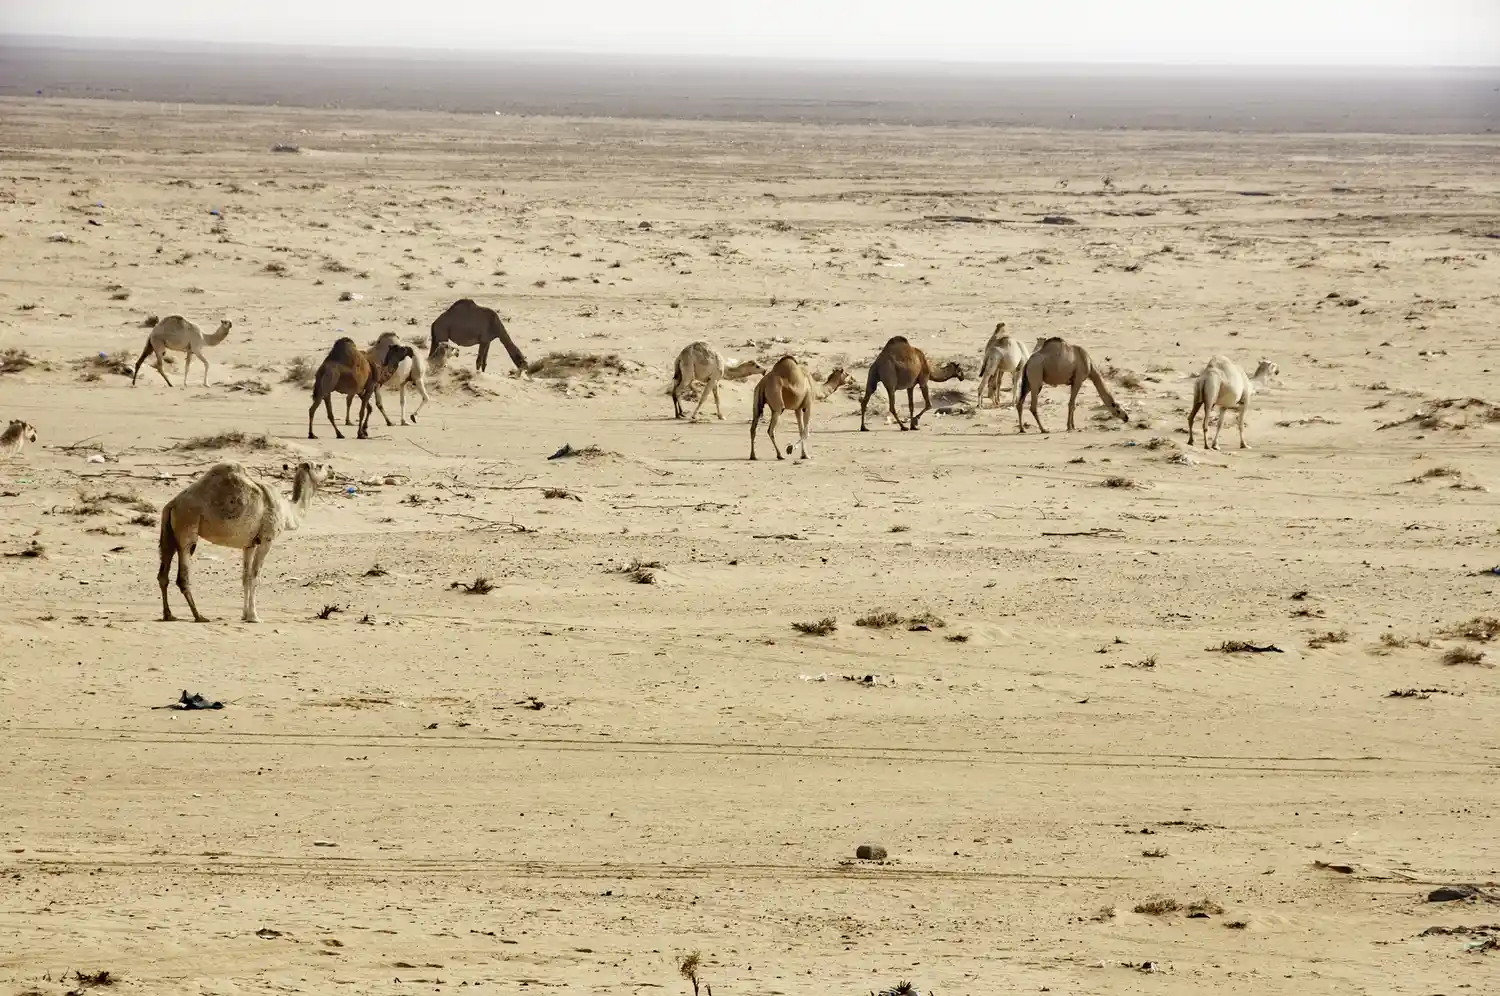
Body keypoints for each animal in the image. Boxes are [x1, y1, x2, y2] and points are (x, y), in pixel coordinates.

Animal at [157, 460, 329, 623]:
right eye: (320, 466)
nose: (331, 470)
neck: (289, 511)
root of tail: (172, 504)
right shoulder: (266, 540)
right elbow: (255, 577)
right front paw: (254, 617)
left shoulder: (249, 544)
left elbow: (245, 578)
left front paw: (245, 616)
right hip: (187, 523)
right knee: (183, 573)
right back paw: (198, 616)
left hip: (169, 532)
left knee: (163, 572)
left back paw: (169, 615)